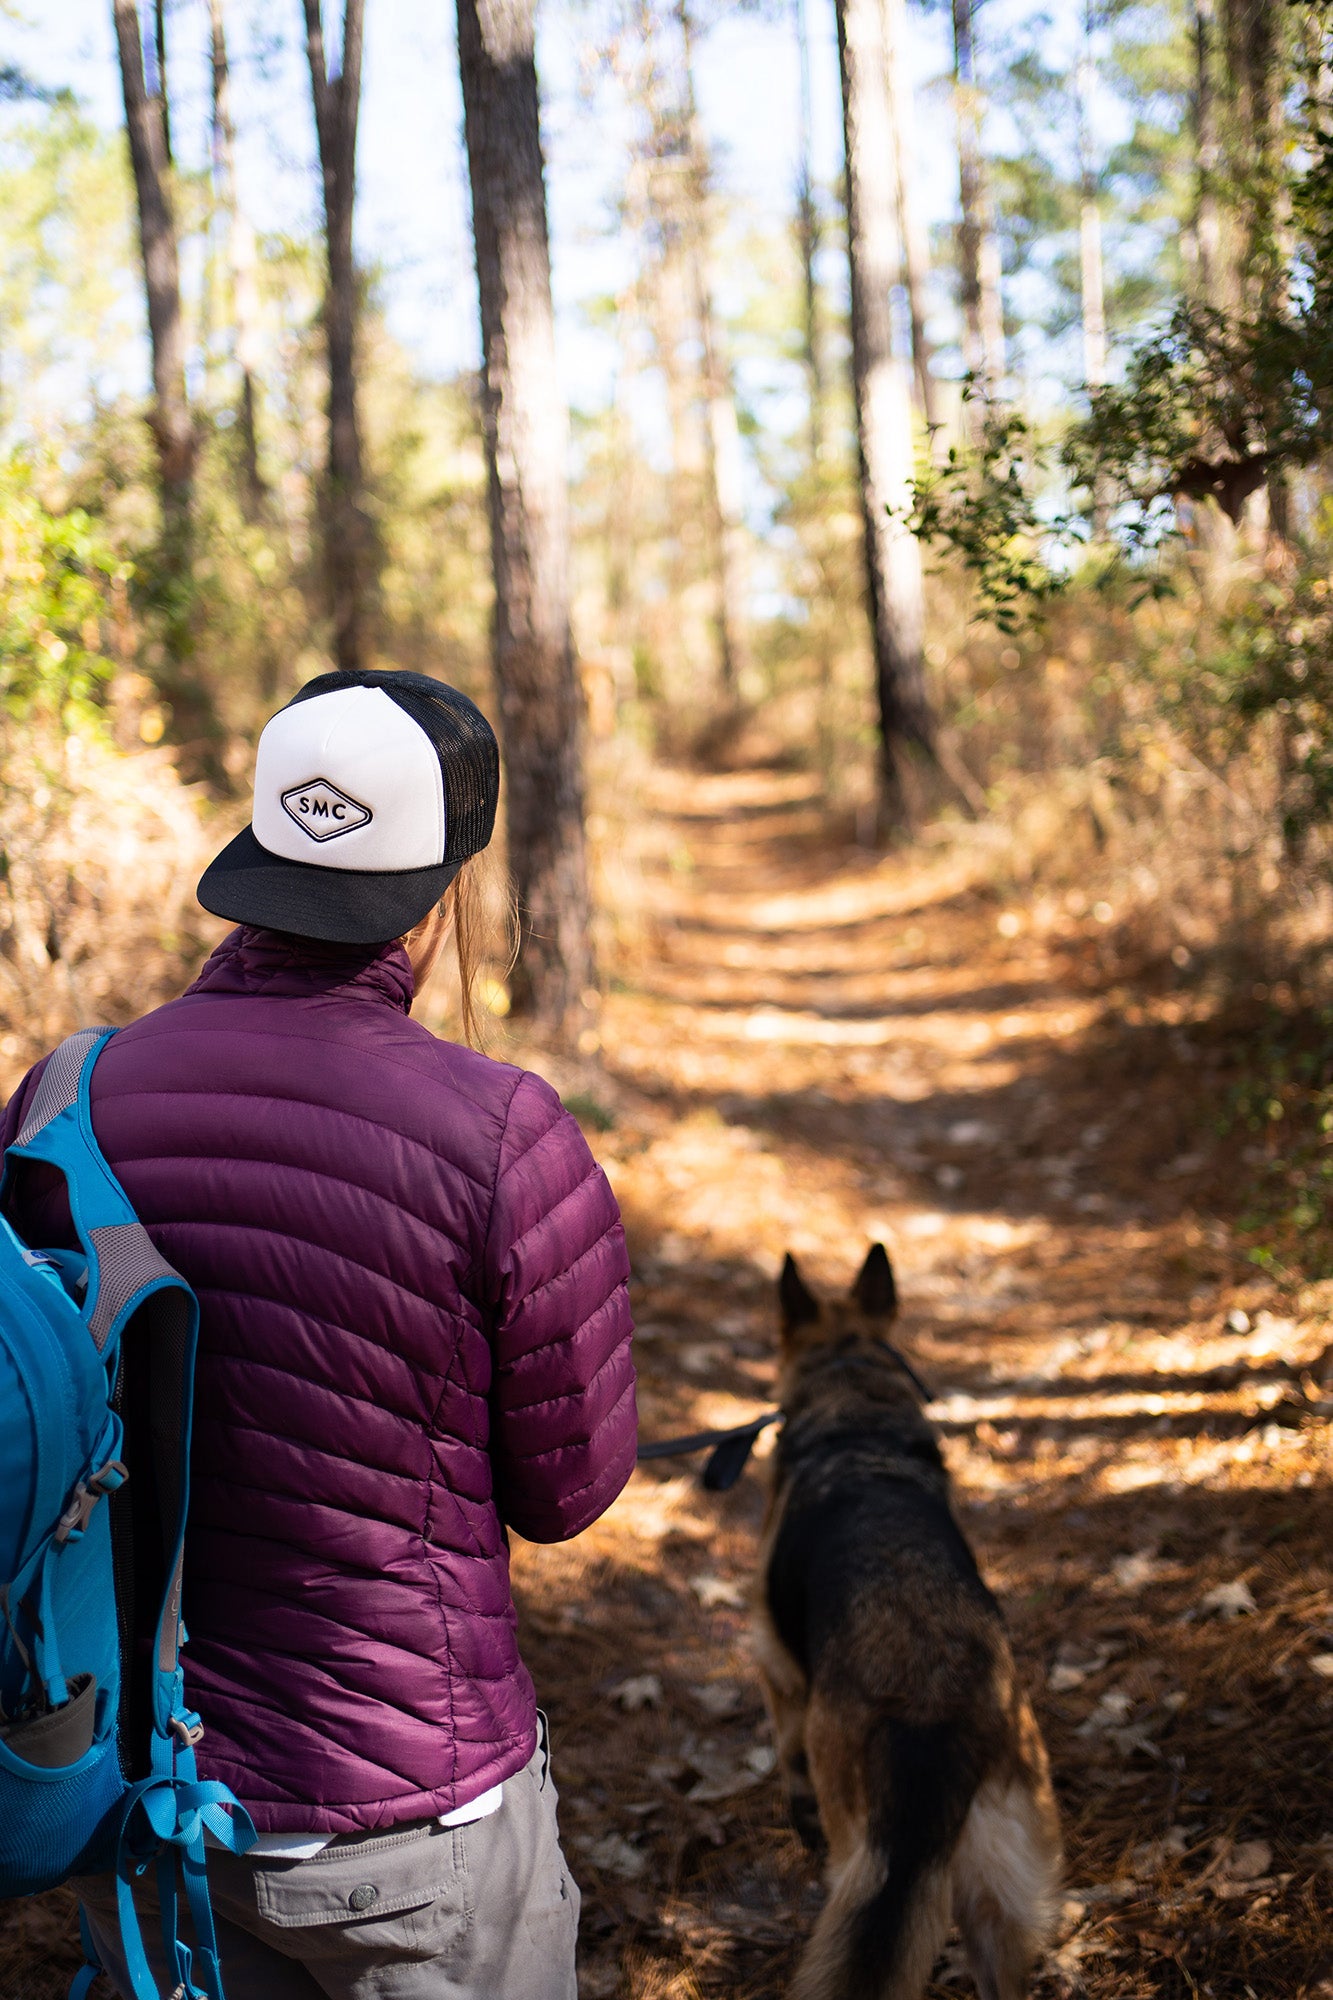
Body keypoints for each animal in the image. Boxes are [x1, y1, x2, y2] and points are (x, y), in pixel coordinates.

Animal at [752, 1240, 1056, 1992]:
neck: (854, 1398)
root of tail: (933, 1704)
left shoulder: (775, 1665)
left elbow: (785, 1750)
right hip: (999, 1889)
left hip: (862, 1853)